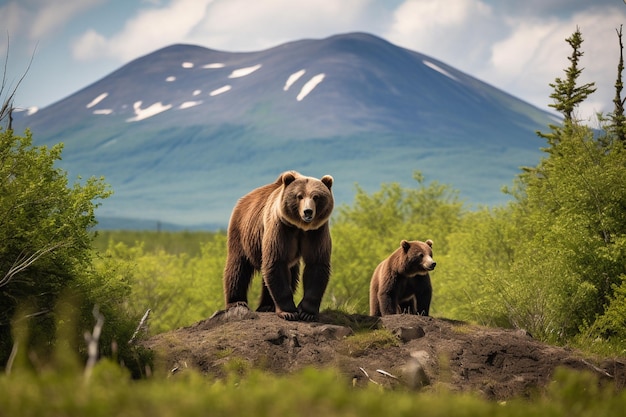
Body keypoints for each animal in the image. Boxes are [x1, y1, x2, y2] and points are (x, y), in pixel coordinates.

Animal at [223, 171, 334, 320]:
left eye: (316, 197)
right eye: (299, 196)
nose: (308, 211)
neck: (300, 227)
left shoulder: (316, 231)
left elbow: (316, 264)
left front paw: (306, 312)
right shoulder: (281, 227)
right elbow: (276, 262)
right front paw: (289, 312)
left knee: (289, 272)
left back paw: (267, 305)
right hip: (242, 232)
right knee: (238, 266)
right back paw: (237, 302)